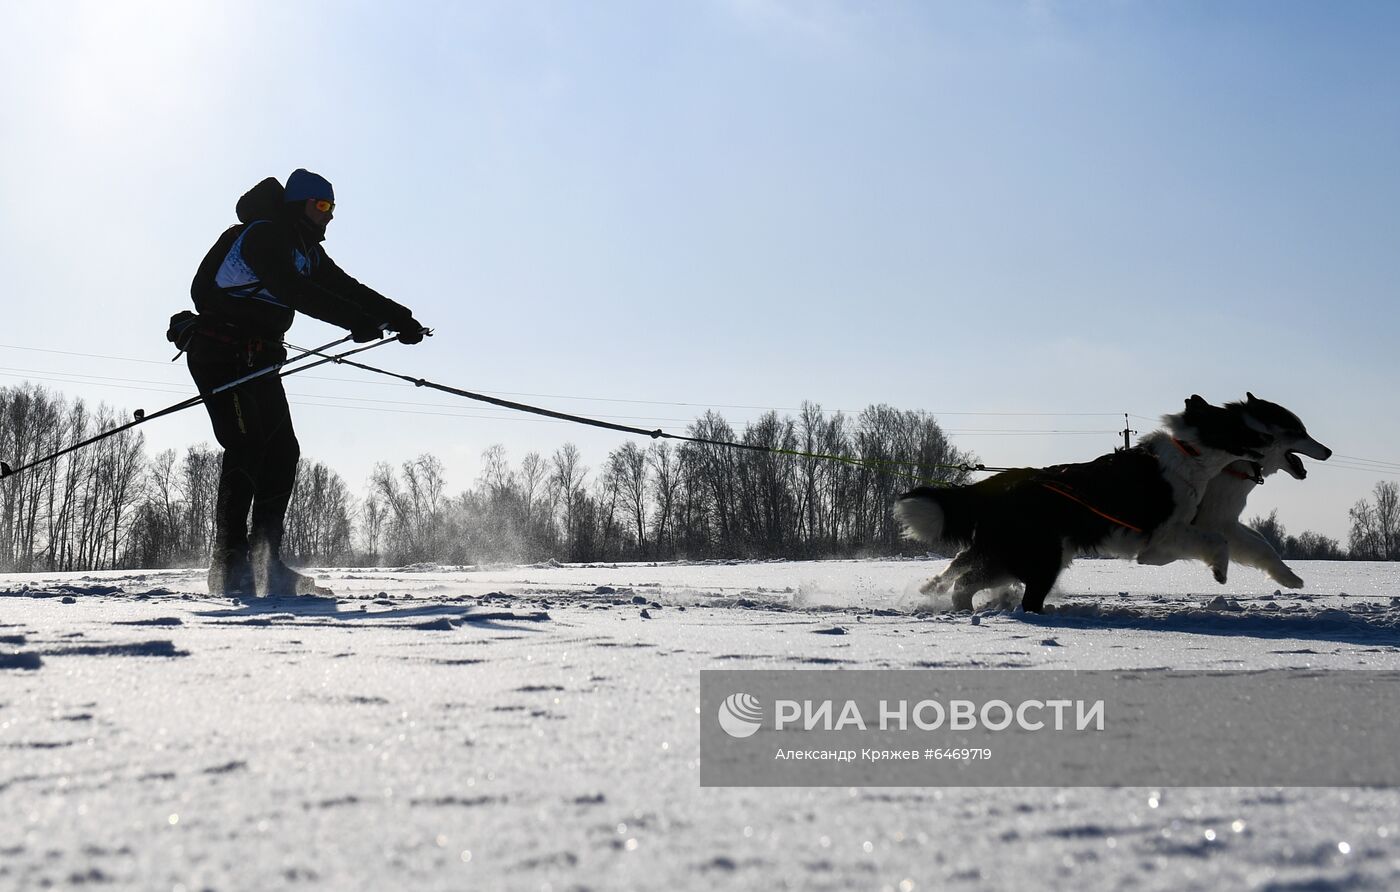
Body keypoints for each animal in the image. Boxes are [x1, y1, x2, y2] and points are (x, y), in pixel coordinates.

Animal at [901, 397, 1276, 613]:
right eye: (1241, 427)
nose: (1271, 438)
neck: (1190, 454)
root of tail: (1000, 485)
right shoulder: (1162, 536)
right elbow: (1217, 541)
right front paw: (1220, 571)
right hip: (1039, 558)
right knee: (1008, 592)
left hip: (1013, 556)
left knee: (965, 579)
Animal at [1131, 392, 1327, 588]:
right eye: (1299, 432)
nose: (1329, 451)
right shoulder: (1216, 522)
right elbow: (1261, 547)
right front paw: (1288, 577)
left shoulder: (1226, 519)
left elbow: (1262, 541)